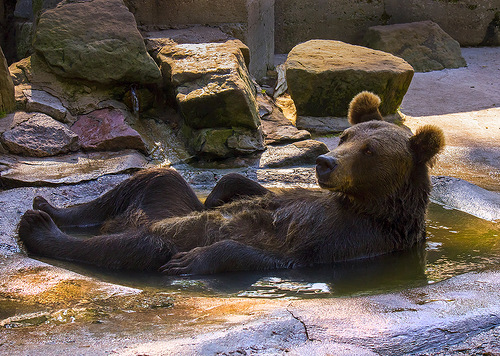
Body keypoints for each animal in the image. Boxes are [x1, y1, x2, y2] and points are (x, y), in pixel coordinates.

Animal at [16, 92, 446, 276]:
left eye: (370, 150)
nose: (325, 163)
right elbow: (252, 189)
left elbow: (281, 255)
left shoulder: (351, 238)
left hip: (156, 233)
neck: (366, 203)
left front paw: (196, 260)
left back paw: (40, 227)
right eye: (346, 136)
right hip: (160, 202)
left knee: (139, 246)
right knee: (157, 177)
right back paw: (48, 206)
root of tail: (118, 223)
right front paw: (217, 196)